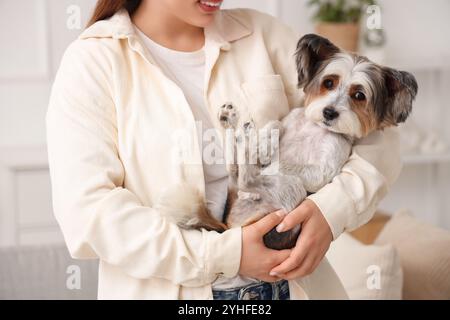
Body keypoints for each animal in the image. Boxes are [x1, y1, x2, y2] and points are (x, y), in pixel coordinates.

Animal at [156, 33, 418, 251]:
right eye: (329, 83)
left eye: (359, 96)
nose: (329, 112)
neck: (315, 127)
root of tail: (232, 227)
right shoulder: (289, 119)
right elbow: (276, 123)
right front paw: (264, 145)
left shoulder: (325, 169)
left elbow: (286, 165)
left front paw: (265, 156)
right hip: (242, 187)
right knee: (235, 168)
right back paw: (237, 128)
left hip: (292, 189)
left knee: (245, 177)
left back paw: (245, 144)